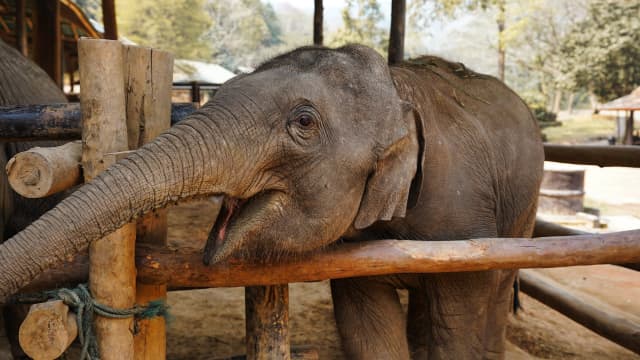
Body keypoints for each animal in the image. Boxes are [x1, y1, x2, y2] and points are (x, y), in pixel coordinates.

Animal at [0, 44, 544, 358]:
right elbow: (367, 328)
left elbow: (461, 327)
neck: (396, 86)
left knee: (495, 296)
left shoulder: (466, 223)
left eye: (303, 122)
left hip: (521, 215)